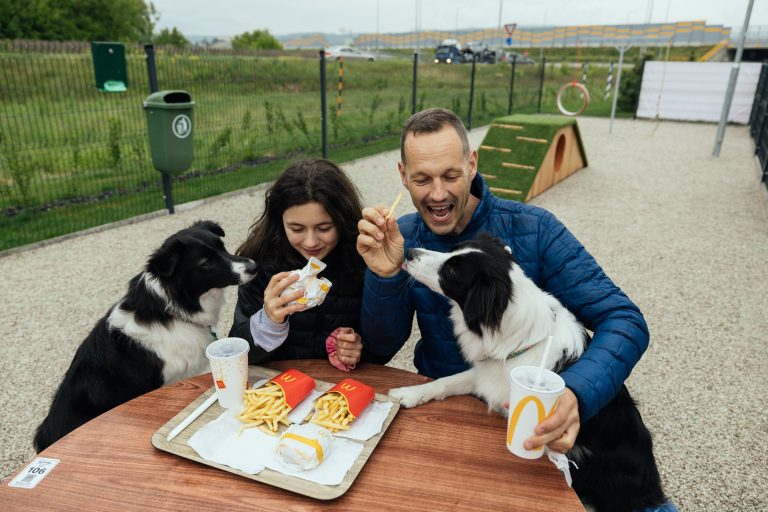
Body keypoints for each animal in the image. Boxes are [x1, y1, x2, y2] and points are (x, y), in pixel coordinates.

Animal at [390, 233, 664, 512]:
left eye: (453, 270)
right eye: (452, 250)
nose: (409, 253)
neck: (516, 337)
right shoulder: (489, 376)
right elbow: (445, 381)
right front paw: (408, 393)